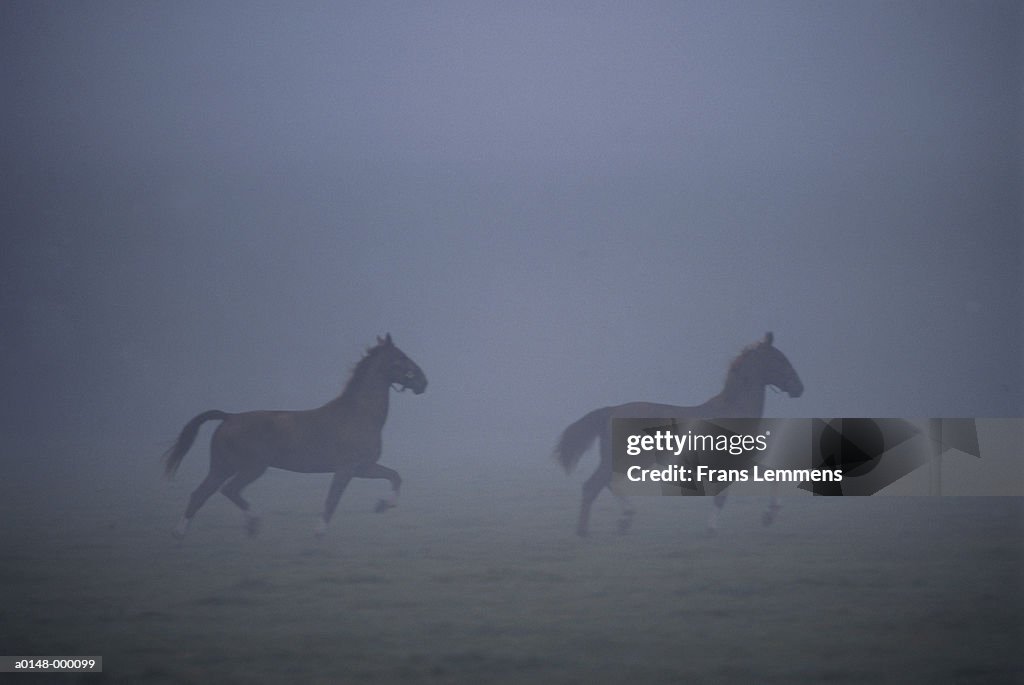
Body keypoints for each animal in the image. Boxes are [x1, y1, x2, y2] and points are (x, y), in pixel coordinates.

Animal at [162, 333, 423, 536]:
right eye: (400, 358)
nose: (423, 381)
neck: (358, 414)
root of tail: (229, 417)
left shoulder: (363, 468)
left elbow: (394, 476)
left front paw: (383, 505)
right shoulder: (349, 468)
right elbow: (332, 499)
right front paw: (319, 531)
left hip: (222, 466)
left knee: (202, 493)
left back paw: (181, 532)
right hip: (251, 467)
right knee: (228, 490)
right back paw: (253, 523)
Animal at [552, 331, 798, 532]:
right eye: (779, 359)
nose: (799, 387)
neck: (733, 410)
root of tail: (610, 410)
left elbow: (772, 473)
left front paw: (769, 514)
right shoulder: (732, 463)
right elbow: (724, 496)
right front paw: (714, 529)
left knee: (605, 483)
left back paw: (621, 520)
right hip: (627, 458)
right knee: (595, 485)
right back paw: (588, 531)